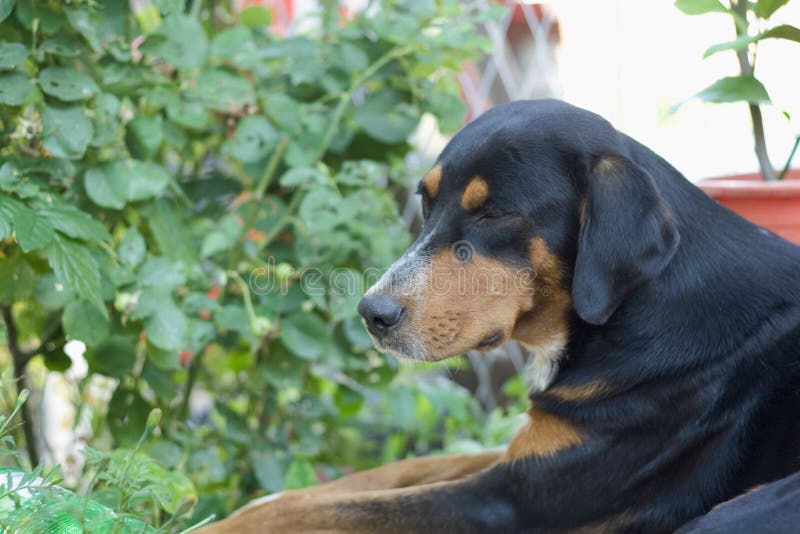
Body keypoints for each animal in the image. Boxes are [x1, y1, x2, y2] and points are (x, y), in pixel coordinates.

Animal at [198, 99, 800, 532]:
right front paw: (258, 501)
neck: (629, 314)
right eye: (426, 201)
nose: (372, 313)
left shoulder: (510, 499)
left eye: (493, 214)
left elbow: (343, 510)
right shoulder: (522, 454)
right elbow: (385, 475)